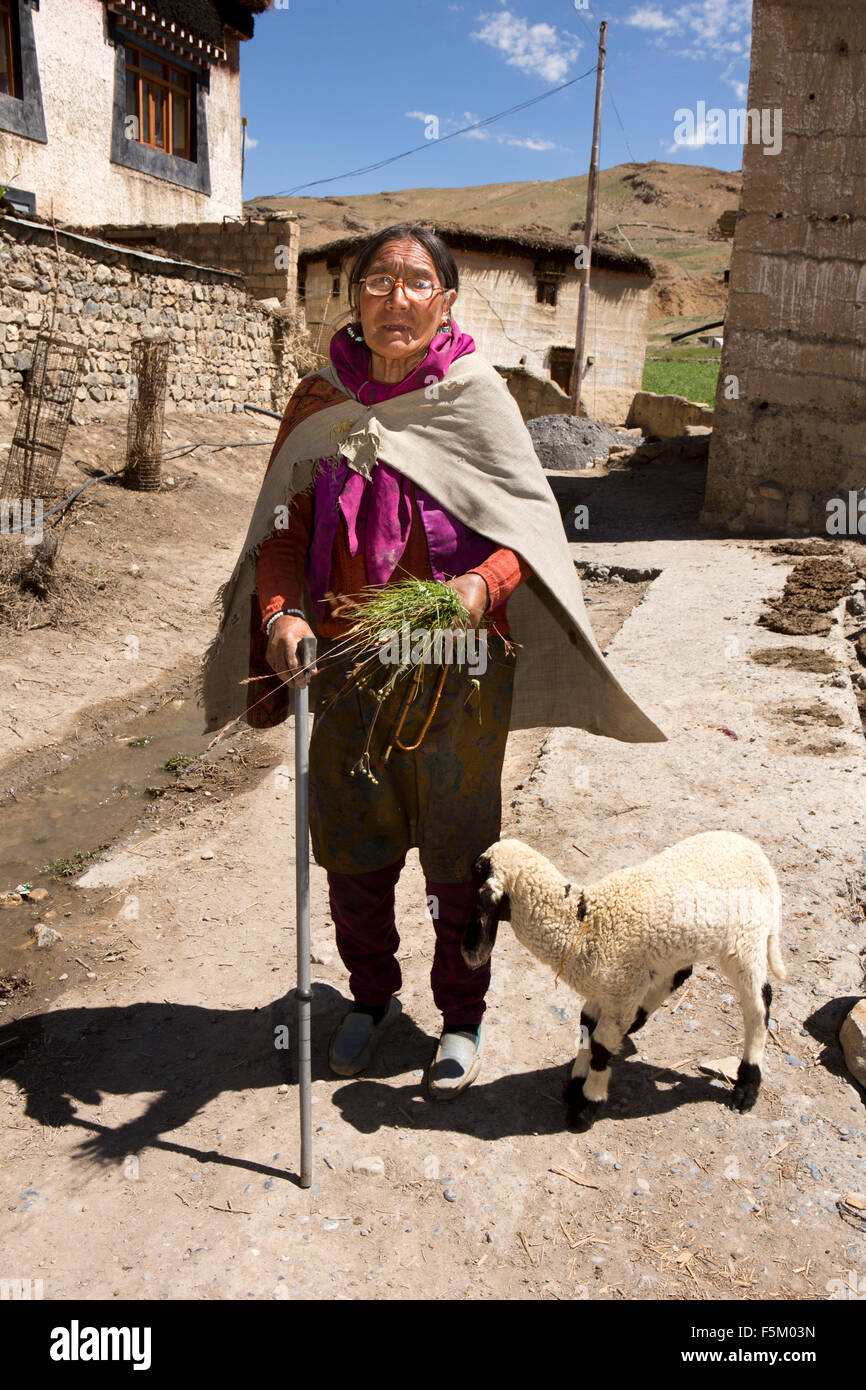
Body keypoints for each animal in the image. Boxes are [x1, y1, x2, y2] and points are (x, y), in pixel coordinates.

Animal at [464, 828, 789, 1123]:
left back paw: (747, 1086)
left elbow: (600, 1047)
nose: (469, 864)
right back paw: (640, 1018)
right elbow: (585, 1028)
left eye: (481, 868)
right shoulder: (604, 991)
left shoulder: (618, 993)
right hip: (680, 945)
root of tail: (756, 853)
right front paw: (575, 1085)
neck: (583, 926)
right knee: (681, 972)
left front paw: (587, 1105)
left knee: (758, 1004)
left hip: (746, 939)